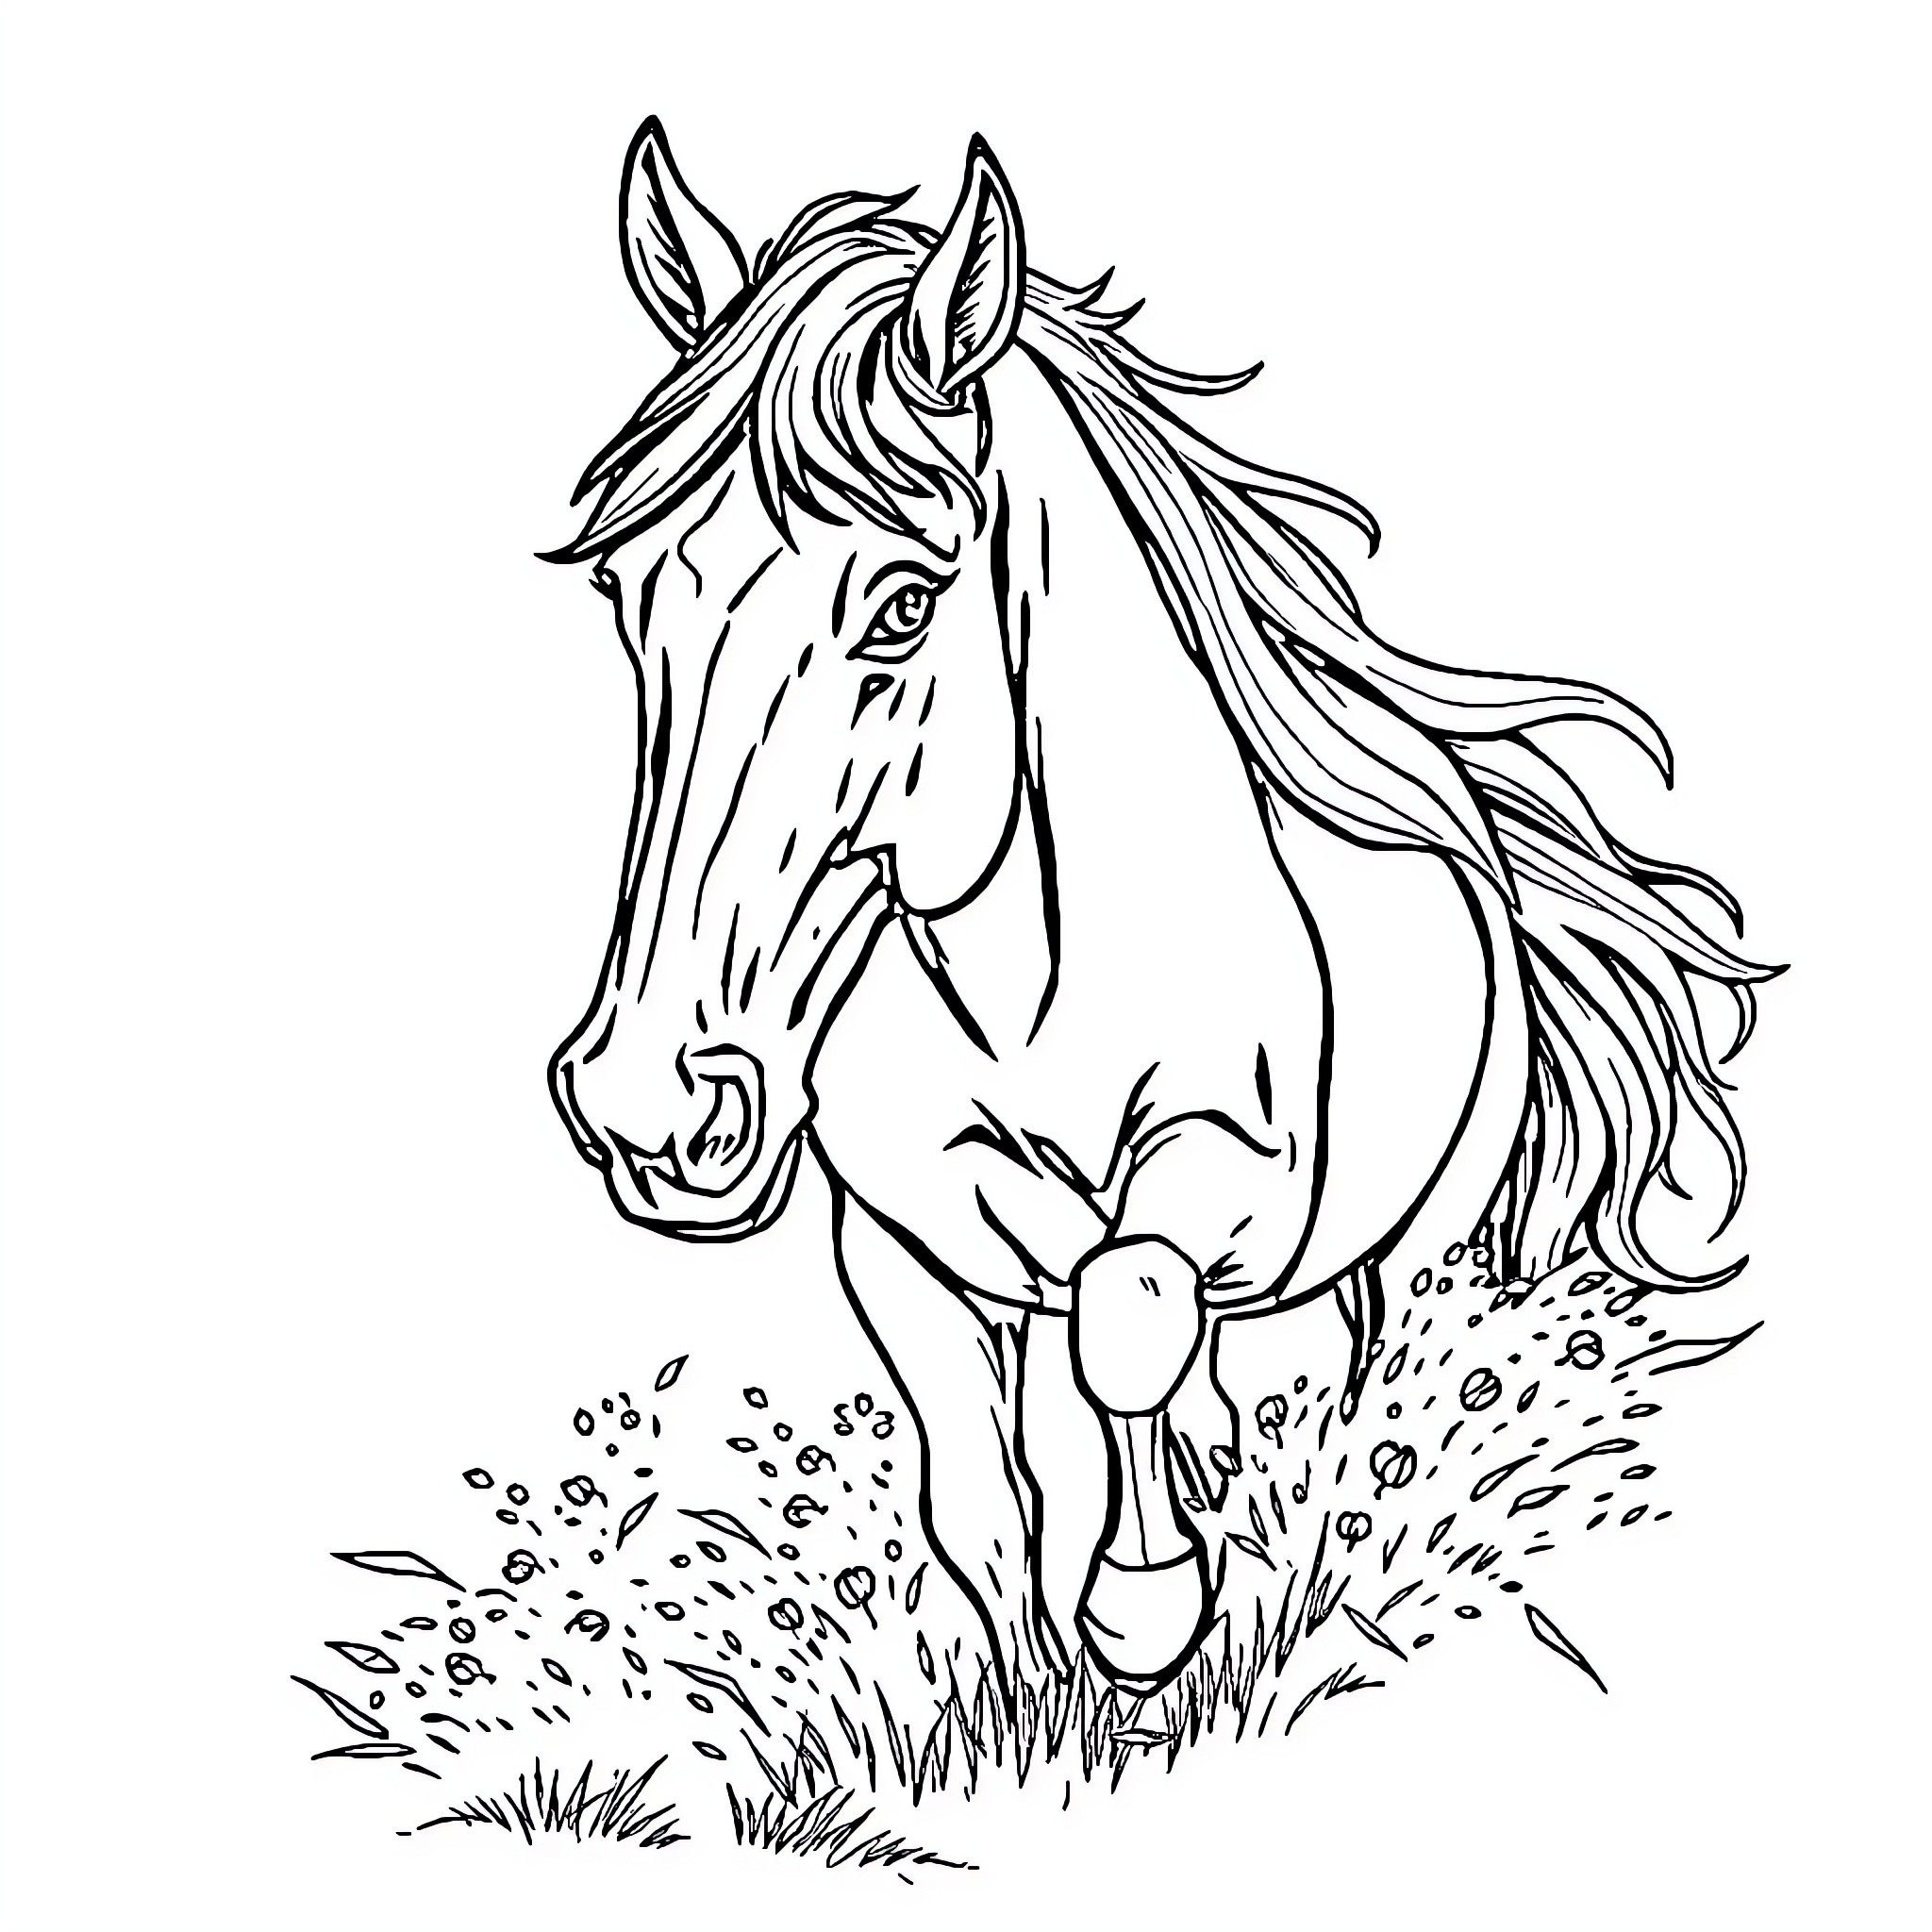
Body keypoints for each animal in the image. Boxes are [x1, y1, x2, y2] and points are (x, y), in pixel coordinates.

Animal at [542, 121, 1772, 1696]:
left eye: (902, 606)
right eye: (636, 595)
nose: (646, 1104)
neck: (1023, 992)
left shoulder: (1234, 1173)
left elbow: (1130, 1304)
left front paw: (1145, 1608)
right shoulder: (898, 1242)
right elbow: (979, 1500)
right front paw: (1036, 1686)